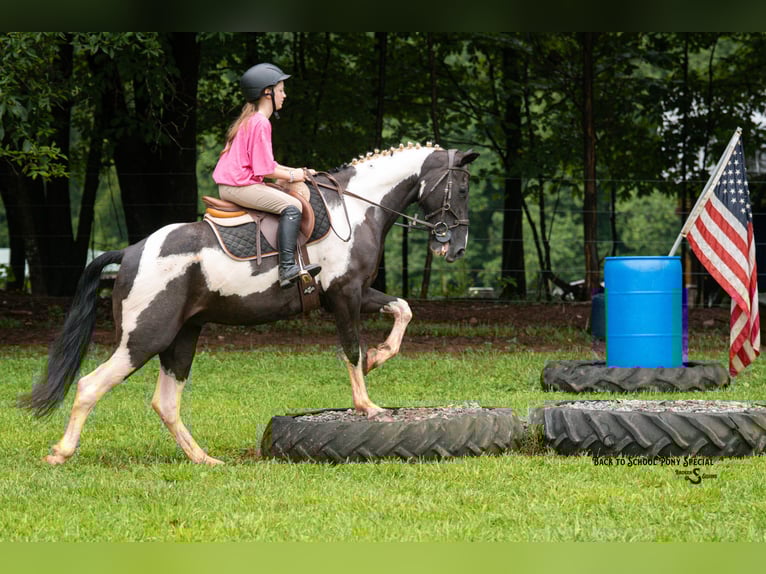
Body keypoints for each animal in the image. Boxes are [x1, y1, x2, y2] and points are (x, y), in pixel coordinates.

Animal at [19, 143, 479, 466]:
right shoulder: (344, 295)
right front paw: (368, 403)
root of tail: (131, 251)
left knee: (165, 402)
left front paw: (381, 357)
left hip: (183, 337)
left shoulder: (357, 293)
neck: (354, 208)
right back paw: (60, 452)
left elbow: (402, 309)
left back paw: (204, 459)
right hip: (145, 338)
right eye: (462, 187)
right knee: (90, 385)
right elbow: (352, 349)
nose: (456, 248)